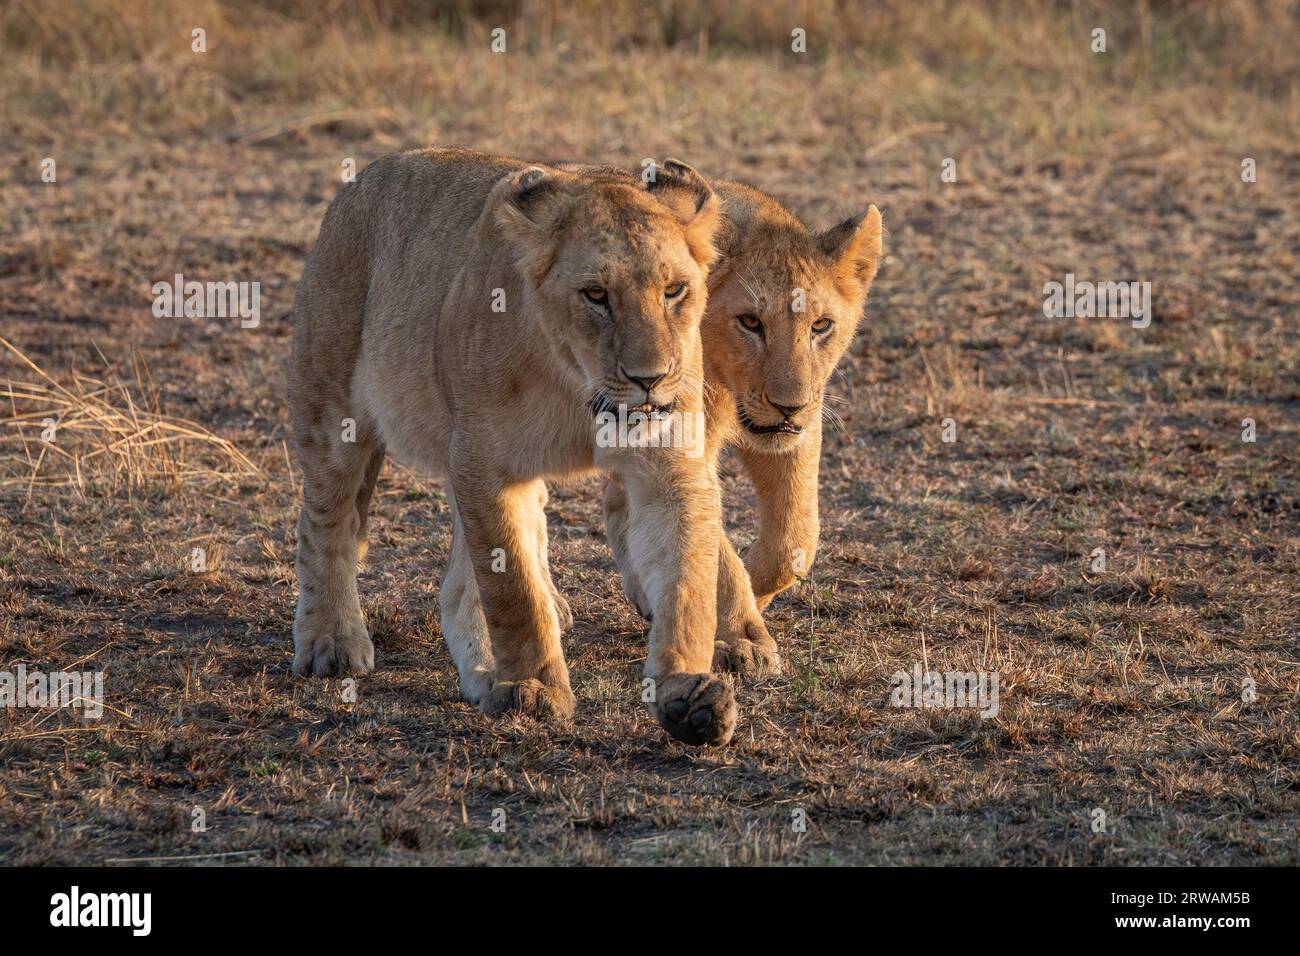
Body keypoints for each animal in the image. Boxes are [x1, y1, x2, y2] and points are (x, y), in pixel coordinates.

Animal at [288, 147, 738, 746]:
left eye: (674, 291)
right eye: (596, 295)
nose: (651, 379)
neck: (577, 389)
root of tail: (360, 182)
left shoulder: (670, 470)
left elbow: (687, 582)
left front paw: (688, 691)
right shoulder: (486, 463)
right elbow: (513, 591)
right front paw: (536, 688)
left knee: (462, 582)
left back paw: (487, 668)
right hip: (332, 405)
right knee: (327, 520)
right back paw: (331, 642)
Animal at [604, 168, 884, 678]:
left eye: (821, 326)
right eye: (750, 322)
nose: (789, 405)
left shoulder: (800, 429)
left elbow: (794, 538)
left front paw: (752, 597)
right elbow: (712, 546)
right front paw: (741, 635)